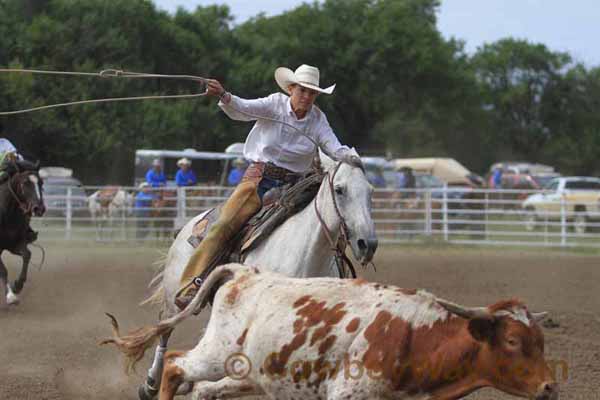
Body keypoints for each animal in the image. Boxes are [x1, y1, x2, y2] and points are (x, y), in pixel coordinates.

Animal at [0, 170, 45, 306]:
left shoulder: (15, 245)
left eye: (41, 183)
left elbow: (27, 255)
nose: (39, 208)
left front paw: (17, 286)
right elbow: (3, 270)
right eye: (25, 183)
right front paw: (10, 296)